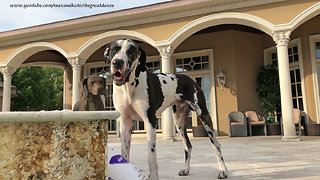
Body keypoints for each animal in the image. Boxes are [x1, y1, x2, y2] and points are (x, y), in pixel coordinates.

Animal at [104, 39, 228, 179]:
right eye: (114, 49)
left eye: (131, 51)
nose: (118, 62)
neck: (128, 88)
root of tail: (189, 78)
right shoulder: (125, 123)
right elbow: (124, 155)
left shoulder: (150, 122)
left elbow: (151, 157)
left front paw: (153, 177)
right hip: (179, 122)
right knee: (188, 145)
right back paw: (186, 169)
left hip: (204, 116)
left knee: (216, 145)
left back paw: (223, 170)